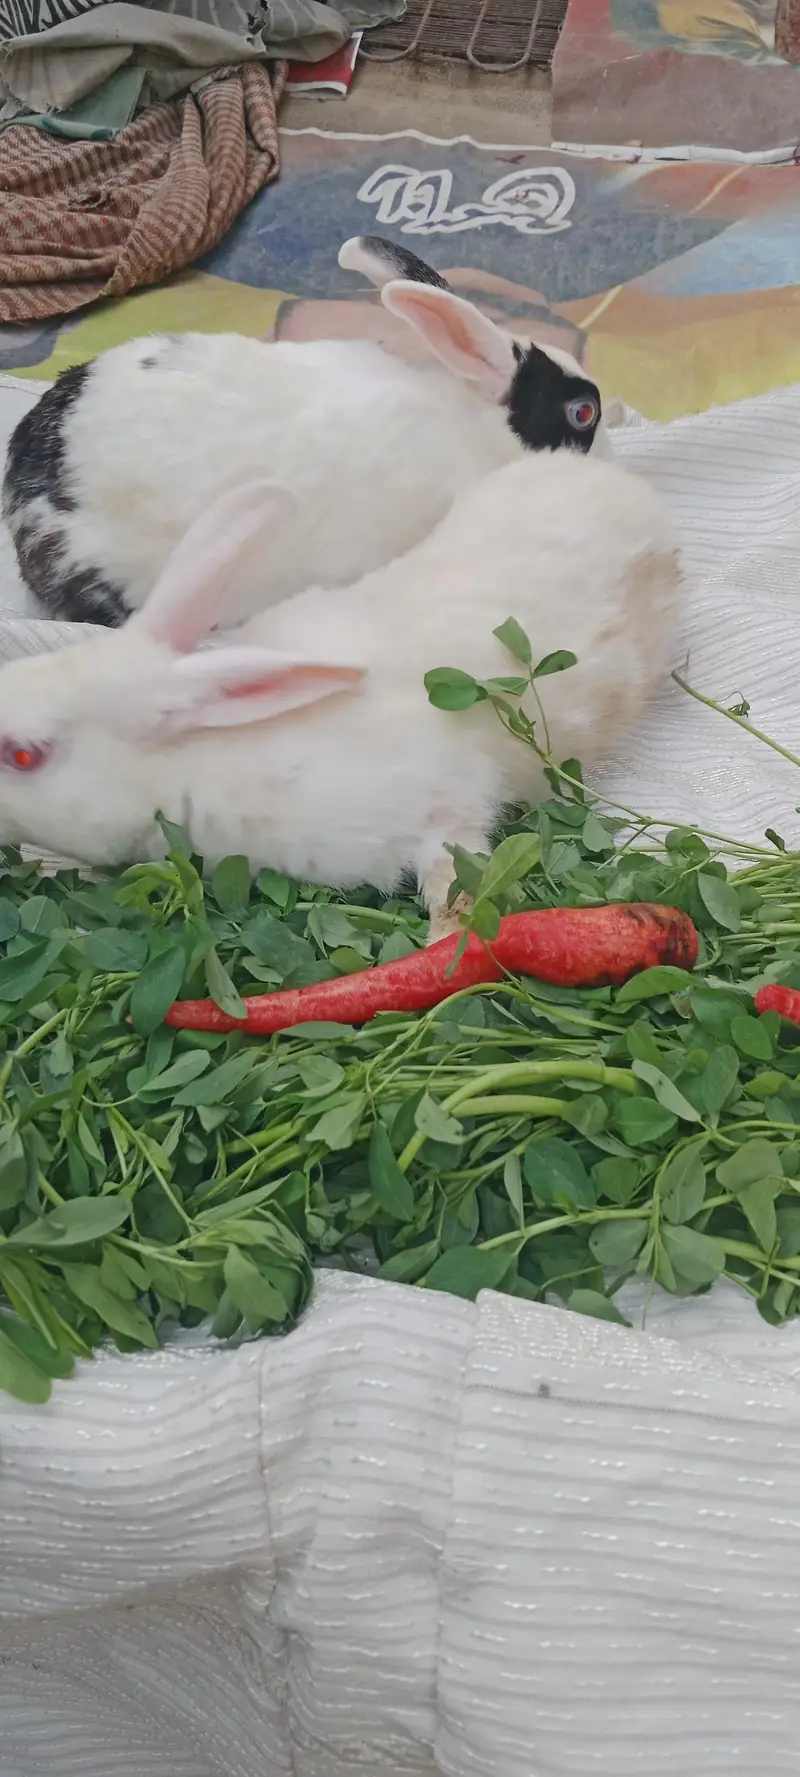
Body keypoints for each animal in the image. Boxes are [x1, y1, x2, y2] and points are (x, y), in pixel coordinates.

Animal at [0, 451, 679, 940]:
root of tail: (620, 484)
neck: (209, 752)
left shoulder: (443, 800)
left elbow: (454, 874)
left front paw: (444, 943)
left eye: (26, 755)